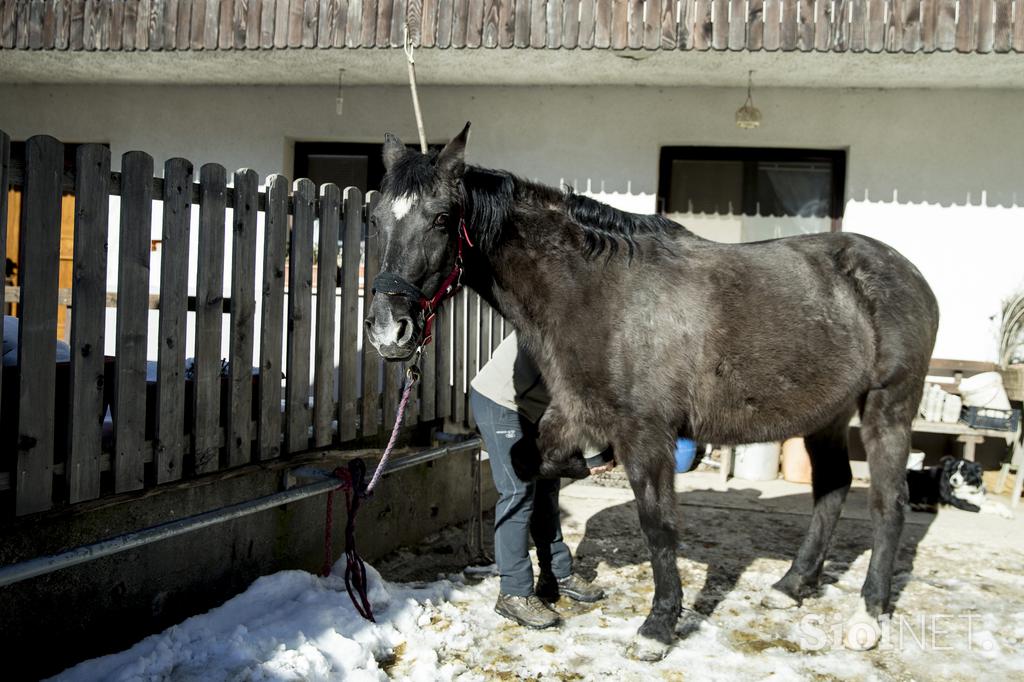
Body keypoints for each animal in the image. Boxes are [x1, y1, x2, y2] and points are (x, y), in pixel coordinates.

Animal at [364, 123, 937, 659]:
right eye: (375, 219)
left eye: (442, 218)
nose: (388, 330)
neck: (599, 294)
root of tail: (906, 271)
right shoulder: (572, 414)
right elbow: (531, 466)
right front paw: (554, 568)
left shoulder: (646, 433)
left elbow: (658, 524)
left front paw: (658, 628)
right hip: (827, 414)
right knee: (833, 489)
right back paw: (791, 585)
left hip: (888, 407)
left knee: (890, 504)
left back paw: (868, 615)